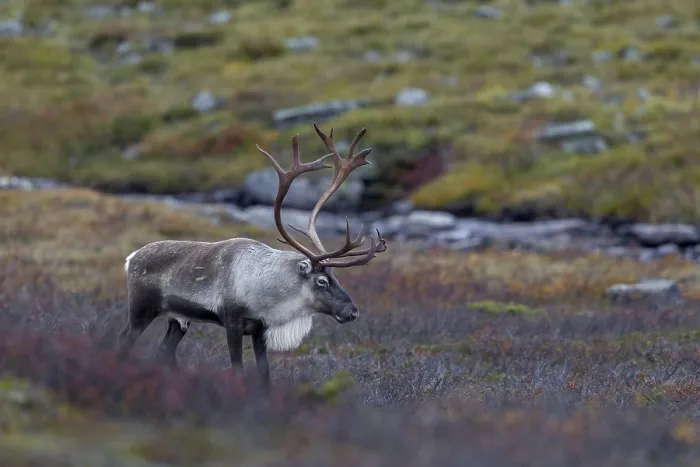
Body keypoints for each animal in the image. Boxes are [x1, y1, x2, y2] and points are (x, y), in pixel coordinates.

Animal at [116, 123, 387, 388]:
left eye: (336, 277)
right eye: (322, 281)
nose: (352, 311)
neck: (268, 288)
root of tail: (130, 258)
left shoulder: (260, 330)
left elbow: (264, 374)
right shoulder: (233, 322)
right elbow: (238, 370)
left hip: (178, 320)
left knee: (164, 351)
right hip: (141, 308)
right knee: (124, 340)